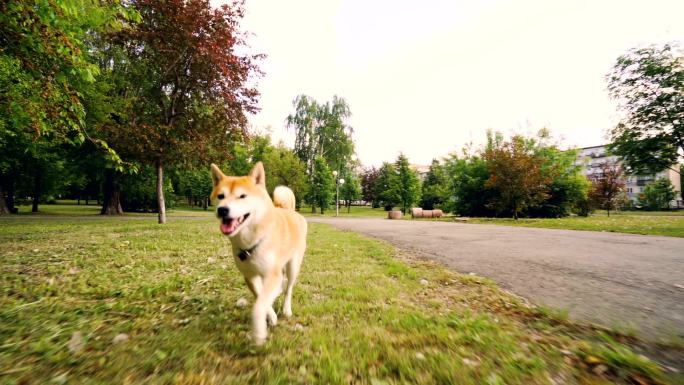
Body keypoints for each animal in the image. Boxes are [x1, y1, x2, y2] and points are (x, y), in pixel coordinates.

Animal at [208, 160, 304, 344]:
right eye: (220, 196)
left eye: (242, 196)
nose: (222, 210)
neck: (253, 241)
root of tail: (288, 210)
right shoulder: (250, 276)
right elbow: (261, 298)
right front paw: (271, 317)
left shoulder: (272, 274)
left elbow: (259, 306)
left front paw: (259, 333)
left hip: (293, 266)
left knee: (288, 288)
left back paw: (286, 309)